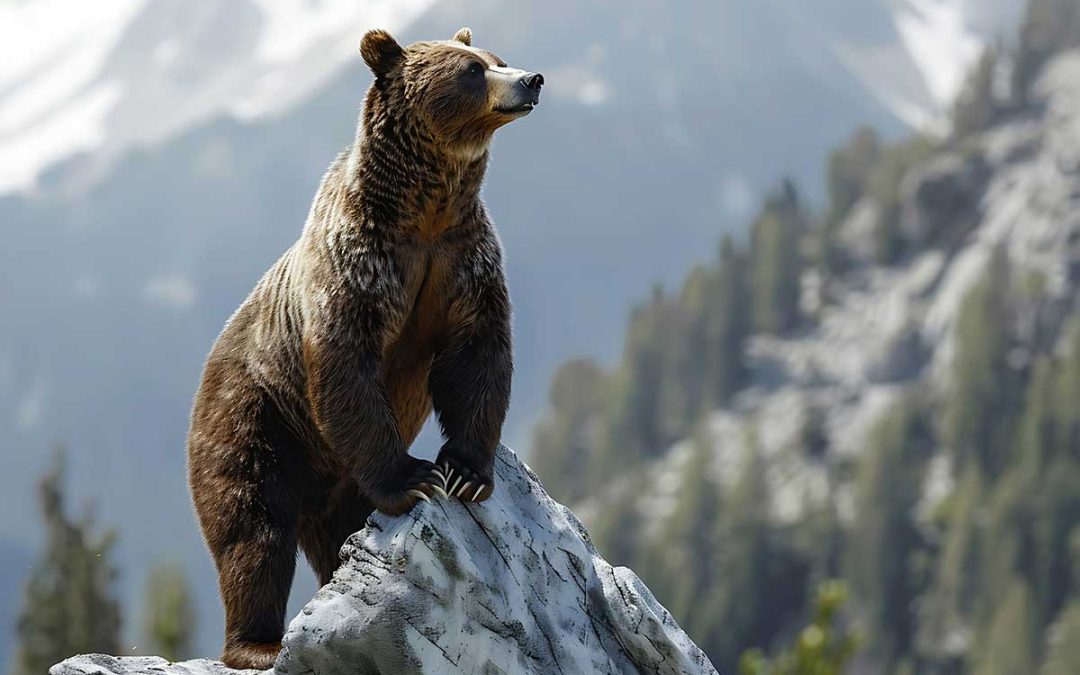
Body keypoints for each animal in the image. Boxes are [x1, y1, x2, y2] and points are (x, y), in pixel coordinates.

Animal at [186, 27, 544, 669]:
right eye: (470, 71)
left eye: (496, 59)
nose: (531, 79)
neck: (423, 213)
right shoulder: (360, 264)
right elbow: (347, 366)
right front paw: (415, 478)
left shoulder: (463, 260)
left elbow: (477, 355)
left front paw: (465, 472)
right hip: (254, 420)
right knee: (253, 530)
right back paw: (257, 642)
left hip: (331, 480)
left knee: (335, 530)